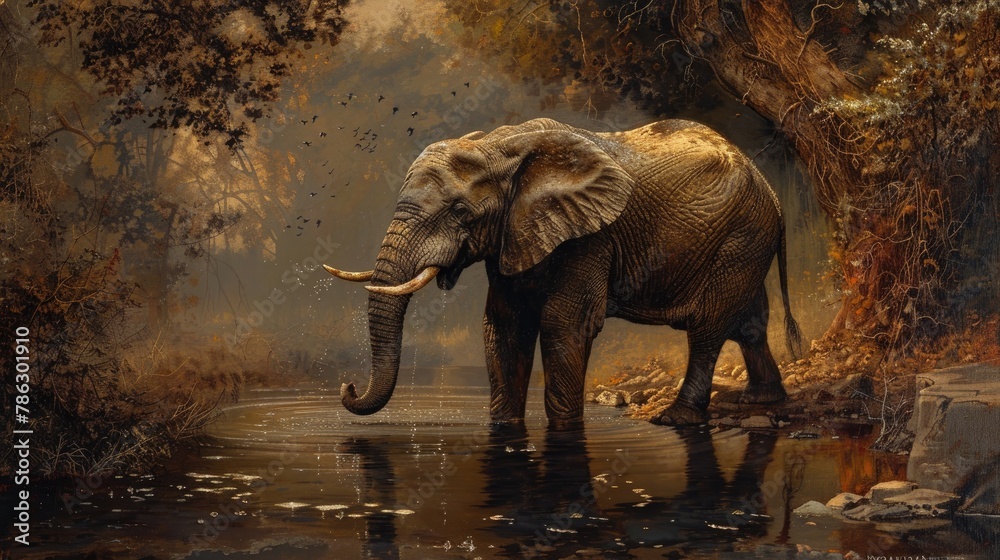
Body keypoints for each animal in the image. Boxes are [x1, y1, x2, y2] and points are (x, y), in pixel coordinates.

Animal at [326, 117, 802, 428]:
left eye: (460, 212)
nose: (347, 387)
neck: (498, 146)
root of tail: (775, 195)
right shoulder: (514, 232)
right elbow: (505, 324)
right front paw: (503, 427)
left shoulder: (592, 235)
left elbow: (564, 324)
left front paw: (566, 429)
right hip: (746, 241)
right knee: (749, 323)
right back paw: (763, 398)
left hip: (741, 236)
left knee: (708, 326)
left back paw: (676, 419)